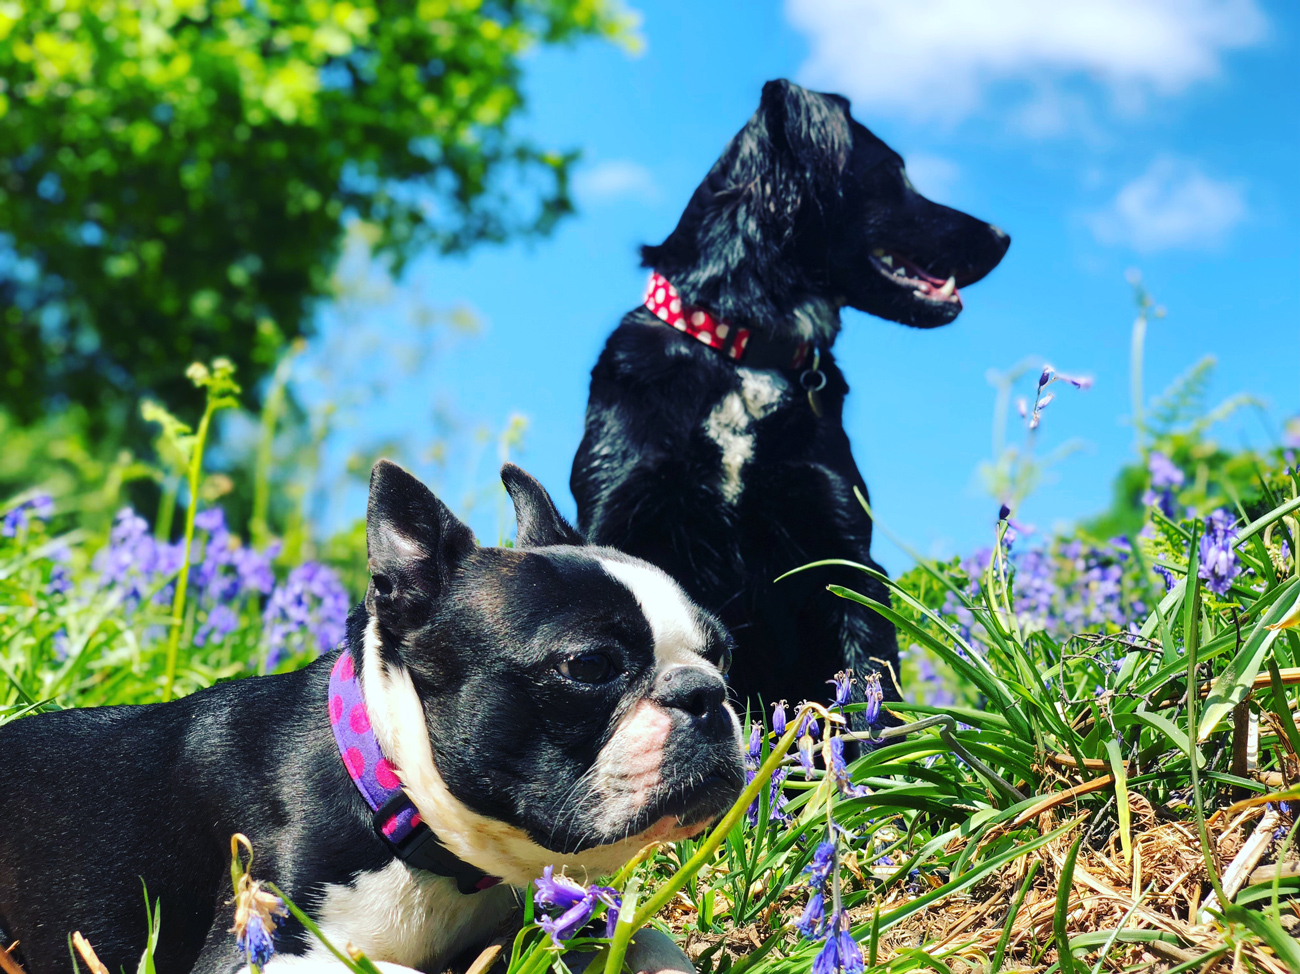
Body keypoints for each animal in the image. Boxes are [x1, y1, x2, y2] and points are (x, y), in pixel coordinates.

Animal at [574, 78, 1008, 712]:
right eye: (893, 172)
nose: (1004, 236)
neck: (747, 350)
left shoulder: (841, 542)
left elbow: (870, 684)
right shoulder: (619, 513)